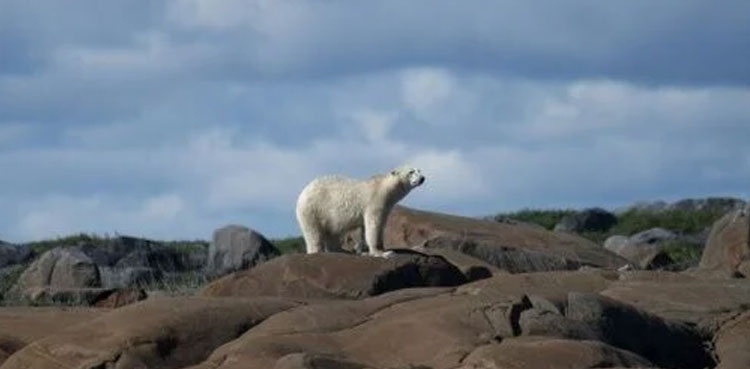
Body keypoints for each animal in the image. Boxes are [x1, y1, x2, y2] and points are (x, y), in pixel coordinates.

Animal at [296, 167, 426, 256]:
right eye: (411, 172)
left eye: (419, 170)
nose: (422, 178)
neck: (384, 187)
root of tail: (303, 192)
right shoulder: (375, 201)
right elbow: (373, 225)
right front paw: (382, 253)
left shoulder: (385, 207)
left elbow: (373, 227)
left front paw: (367, 249)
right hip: (314, 209)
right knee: (313, 233)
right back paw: (317, 251)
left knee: (332, 232)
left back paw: (342, 250)